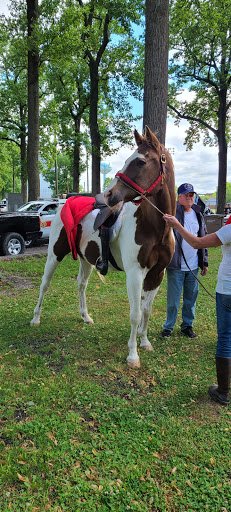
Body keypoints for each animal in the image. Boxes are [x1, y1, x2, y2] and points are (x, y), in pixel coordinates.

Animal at [30, 128, 175, 368]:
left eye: (141, 162)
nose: (109, 195)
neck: (154, 228)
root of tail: (63, 203)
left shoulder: (157, 274)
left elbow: (146, 310)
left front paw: (145, 342)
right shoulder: (135, 274)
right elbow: (135, 313)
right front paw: (133, 355)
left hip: (86, 259)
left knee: (81, 284)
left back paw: (85, 316)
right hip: (54, 255)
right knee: (44, 285)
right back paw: (36, 318)